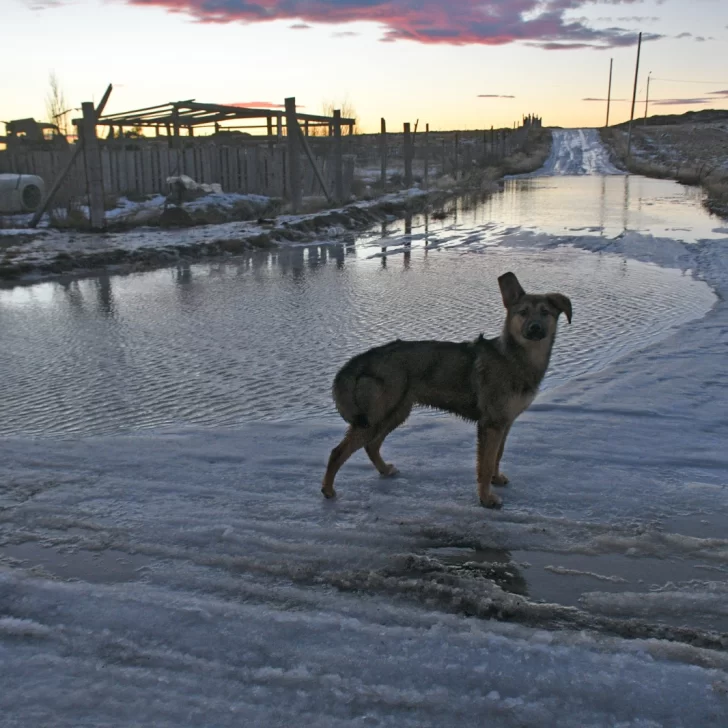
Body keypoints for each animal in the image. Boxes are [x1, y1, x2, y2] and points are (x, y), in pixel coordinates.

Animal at [322, 272, 572, 506]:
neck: (514, 358)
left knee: (371, 445)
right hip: (374, 417)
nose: (535, 328)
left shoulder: (505, 422)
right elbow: (485, 463)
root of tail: (363, 358)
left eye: (545, 313)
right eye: (523, 312)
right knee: (338, 451)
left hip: (396, 412)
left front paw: (496, 479)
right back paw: (328, 490)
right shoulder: (491, 424)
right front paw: (486, 499)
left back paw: (384, 470)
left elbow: (497, 456)